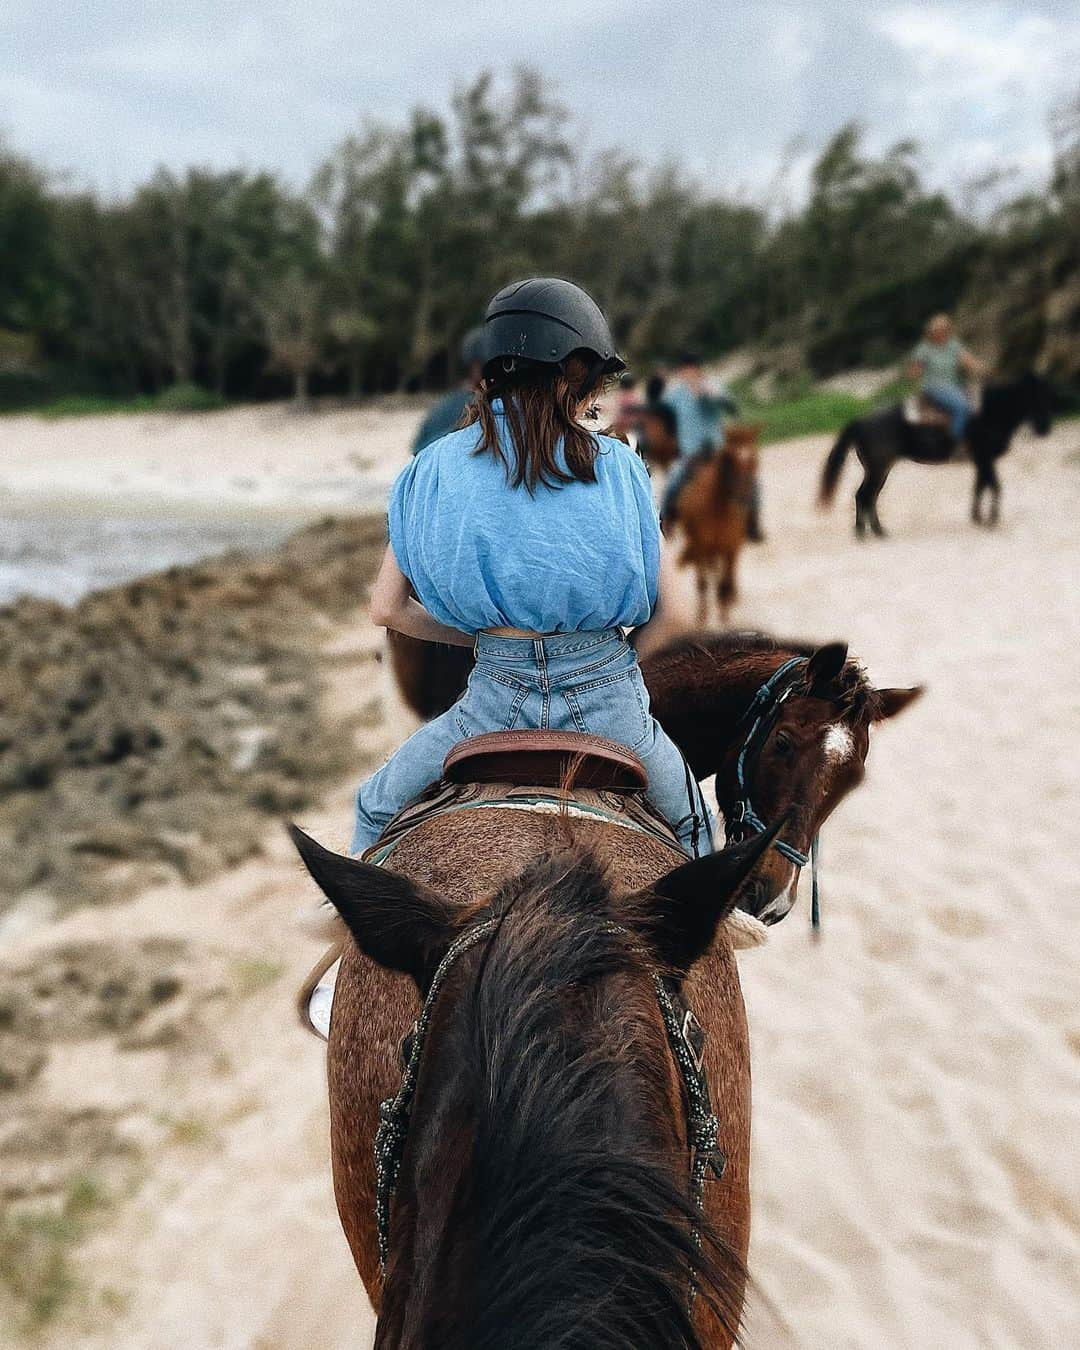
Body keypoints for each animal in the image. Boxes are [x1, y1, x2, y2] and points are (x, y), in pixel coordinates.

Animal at [669, 423, 756, 623]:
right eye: (729, 459)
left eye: (754, 459)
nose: (744, 498)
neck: (718, 510)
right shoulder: (701, 548)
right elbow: (703, 582)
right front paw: (702, 616)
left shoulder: (731, 549)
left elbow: (725, 582)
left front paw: (724, 615)